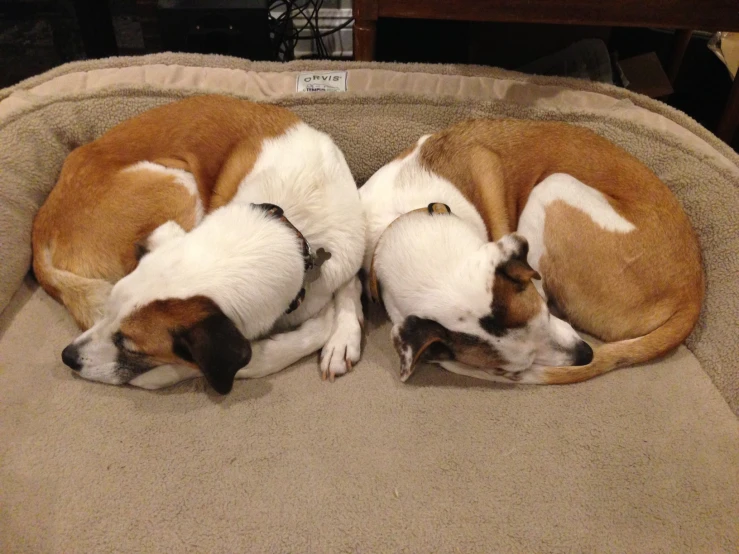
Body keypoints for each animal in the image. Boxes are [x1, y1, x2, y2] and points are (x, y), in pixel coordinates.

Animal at [32, 95, 368, 392]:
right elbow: (259, 358)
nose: (67, 357)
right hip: (179, 184)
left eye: (134, 348)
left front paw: (342, 336)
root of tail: (41, 229)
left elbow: (350, 285)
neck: (287, 229)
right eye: (108, 312)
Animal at [362, 118, 704, 382]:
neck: (401, 219)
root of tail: (692, 294)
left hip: (554, 186)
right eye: (514, 368)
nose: (585, 355)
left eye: (544, 316)